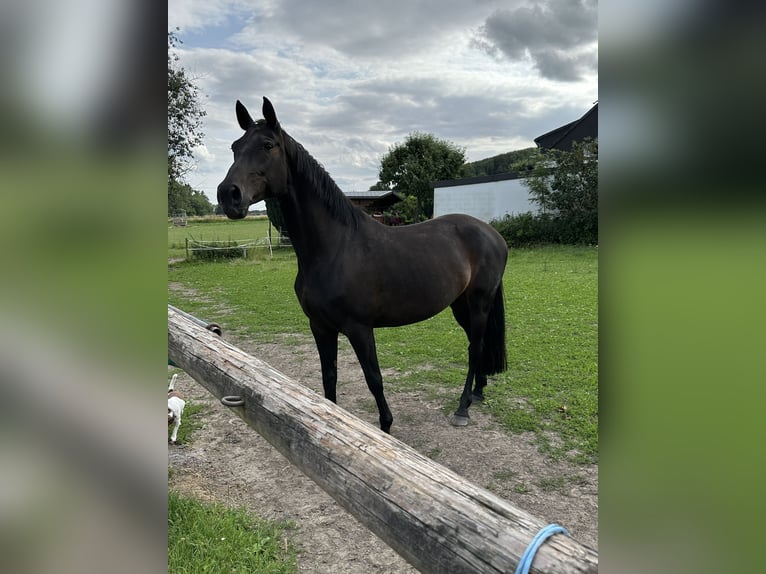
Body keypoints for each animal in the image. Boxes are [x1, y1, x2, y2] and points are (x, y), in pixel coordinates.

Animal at [218, 98, 510, 432]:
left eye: (267, 145)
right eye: (235, 147)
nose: (228, 194)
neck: (335, 249)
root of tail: (492, 234)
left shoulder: (359, 329)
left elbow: (374, 379)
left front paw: (385, 426)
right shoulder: (320, 327)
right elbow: (329, 378)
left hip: (479, 302)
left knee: (475, 349)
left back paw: (463, 408)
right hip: (460, 304)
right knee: (479, 342)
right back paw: (477, 392)